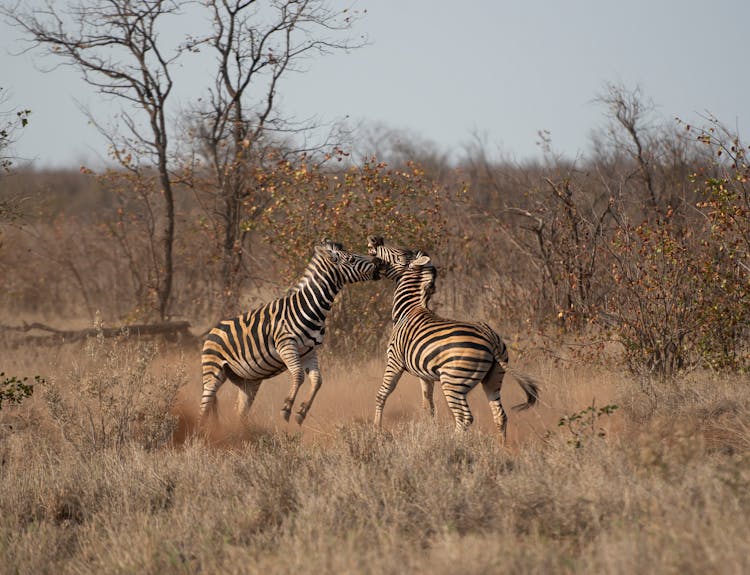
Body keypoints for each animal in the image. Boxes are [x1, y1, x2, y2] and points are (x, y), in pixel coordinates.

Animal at [201, 238, 382, 428]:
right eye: (351, 259)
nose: (379, 262)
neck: (311, 308)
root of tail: (213, 330)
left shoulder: (310, 351)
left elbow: (317, 381)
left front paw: (301, 412)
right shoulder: (286, 345)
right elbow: (299, 375)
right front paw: (286, 408)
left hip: (248, 380)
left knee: (239, 410)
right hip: (213, 370)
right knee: (205, 406)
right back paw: (201, 430)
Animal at [368, 236, 540, 444]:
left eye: (400, 253)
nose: (375, 239)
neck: (407, 310)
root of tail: (490, 338)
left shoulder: (394, 360)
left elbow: (382, 394)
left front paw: (376, 430)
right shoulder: (425, 375)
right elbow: (428, 406)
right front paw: (431, 430)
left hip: (453, 381)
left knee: (465, 418)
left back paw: (451, 443)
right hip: (493, 378)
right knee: (500, 415)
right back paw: (502, 448)